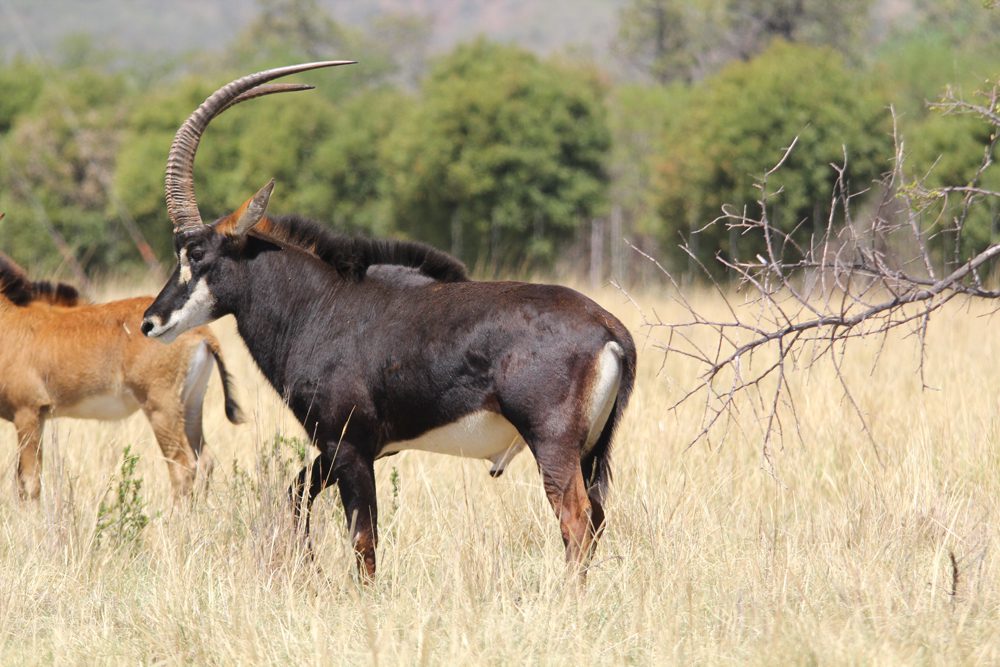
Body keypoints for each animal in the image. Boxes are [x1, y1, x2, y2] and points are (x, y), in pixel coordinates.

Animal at [0, 238, 243, 500]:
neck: (9, 318)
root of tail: (202, 332)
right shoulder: (38, 417)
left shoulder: (27, 412)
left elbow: (29, 483)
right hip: (191, 404)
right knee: (204, 460)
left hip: (161, 407)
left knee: (182, 464)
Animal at [140, 62, 637, 579]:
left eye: (196, 253)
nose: (151, 322)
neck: (320, 305)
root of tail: (610, 331)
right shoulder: (349, 447)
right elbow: (297, 494)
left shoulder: (349, 445)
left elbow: (363, 538)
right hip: (592, 450)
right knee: (597, 516)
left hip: (552, 442)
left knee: (575, 518)